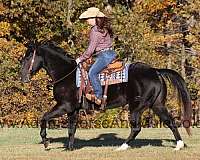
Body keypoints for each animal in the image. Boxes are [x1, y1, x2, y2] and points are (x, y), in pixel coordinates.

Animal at [19, 41, 192, 151]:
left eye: (28, 58)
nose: (23, 78)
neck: (66, 73)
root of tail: (155, 71)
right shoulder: (73, 110)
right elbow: (71, 129)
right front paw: (69, 149)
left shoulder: (64, 106)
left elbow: (44, 118)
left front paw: (46, 142)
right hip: (157, 105)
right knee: (170, 122)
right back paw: (179, 145)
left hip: (137, 107)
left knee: (136, 127)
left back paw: (122, 147)